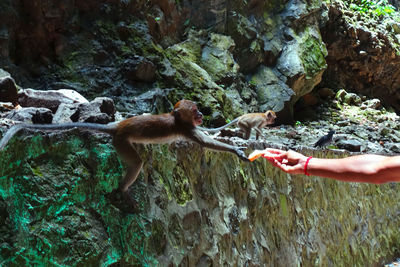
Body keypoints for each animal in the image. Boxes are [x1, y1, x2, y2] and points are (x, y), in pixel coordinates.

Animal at [0, 100, 248, 211]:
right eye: (195, 110)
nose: (201, 115)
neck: (177, 119)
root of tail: (117, 127)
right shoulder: (187, 129)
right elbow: (206, 143)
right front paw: (235, 150)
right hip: (120, 143)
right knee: (137, 162)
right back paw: (123, 189)